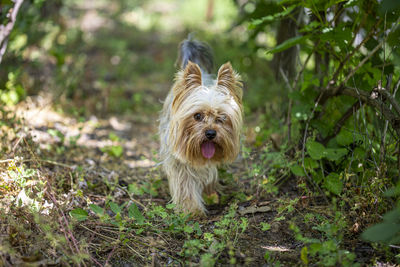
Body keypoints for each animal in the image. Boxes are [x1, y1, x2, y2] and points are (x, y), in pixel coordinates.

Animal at [158, 37, 242, 216]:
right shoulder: (178, 160)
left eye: (222, 117)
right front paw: (191, 209)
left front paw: (210, 193)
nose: (210, 133)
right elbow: (185, 183)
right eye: (197, 116)